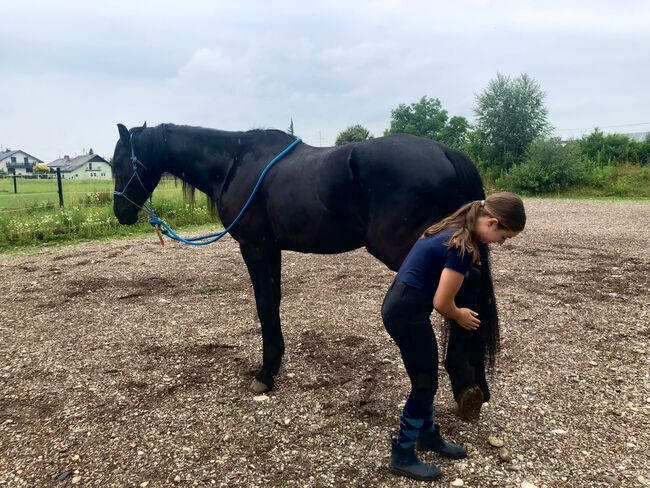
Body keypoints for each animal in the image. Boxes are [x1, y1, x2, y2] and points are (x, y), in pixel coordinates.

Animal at [111, 123, 496, 416]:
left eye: (119, 163)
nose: (120, 212)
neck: (235, 161)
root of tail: (447, 153)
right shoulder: (271, 248)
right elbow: (274, 302)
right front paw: (275, 363)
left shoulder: (254, 246)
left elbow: (264, 304)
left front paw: (266, 373)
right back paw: (475, 383)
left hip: (409, 248)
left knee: (464, 289)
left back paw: (464, 381)